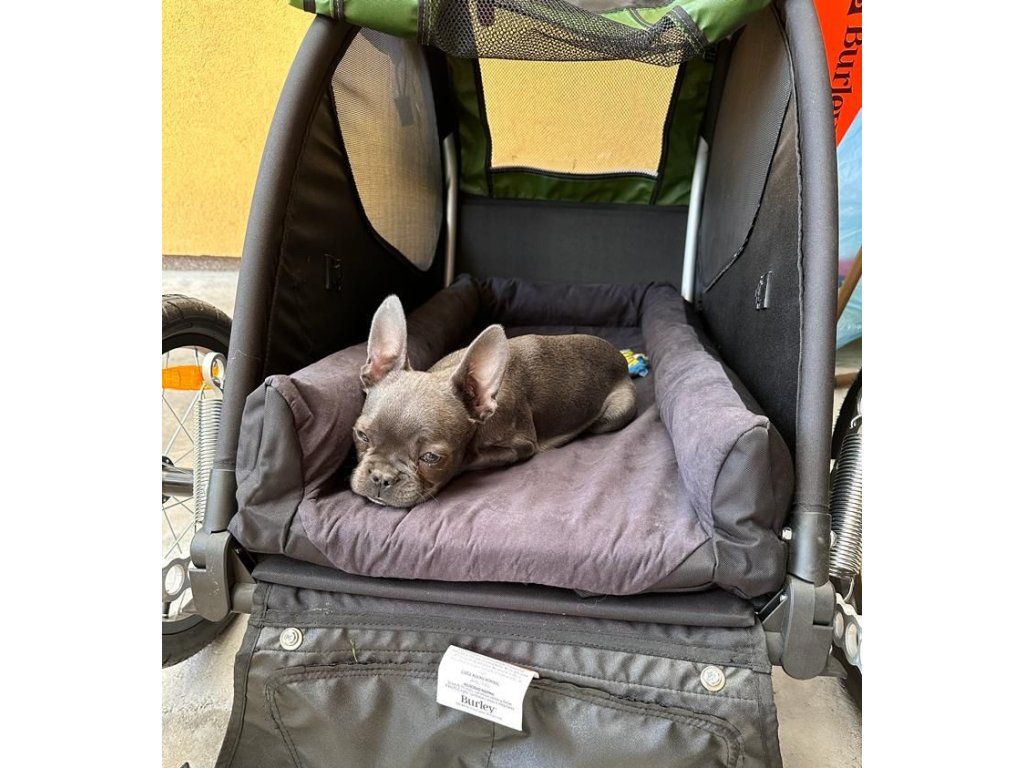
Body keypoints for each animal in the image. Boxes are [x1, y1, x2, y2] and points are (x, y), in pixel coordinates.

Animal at [350, 296, 637, 507]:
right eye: (361, 435)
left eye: (431, 457)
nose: (381, 477)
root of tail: (620, 357)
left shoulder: (521, 446)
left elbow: (471, 459)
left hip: (618, 411)